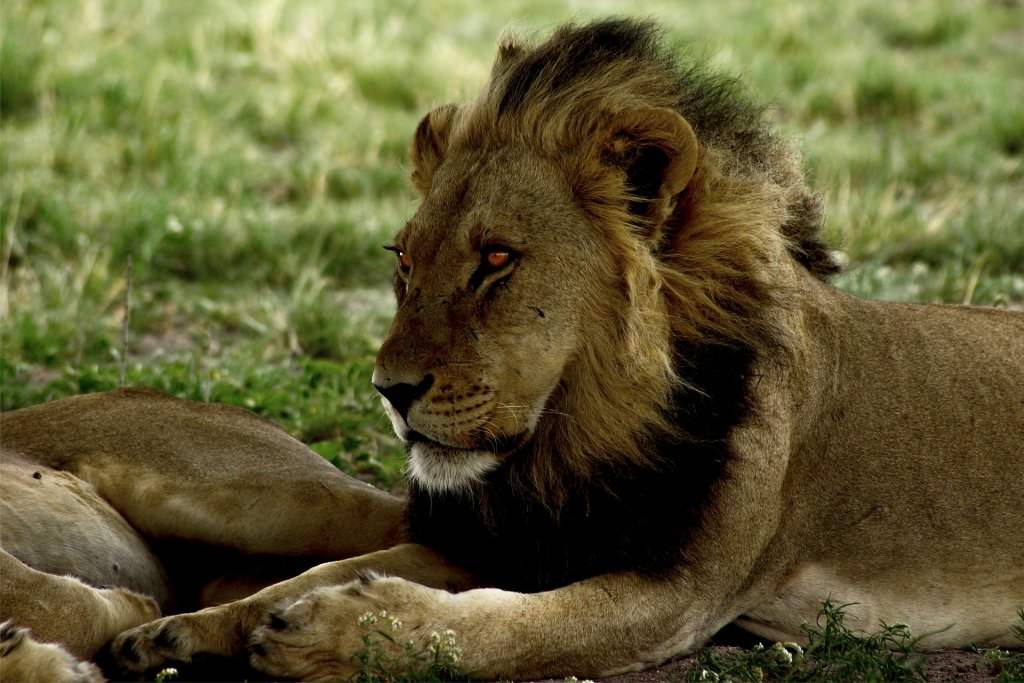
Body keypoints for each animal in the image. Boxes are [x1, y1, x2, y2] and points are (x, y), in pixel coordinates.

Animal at [2, 17, 1022, 681]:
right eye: (404, 260)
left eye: (496, 259)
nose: (389, 389)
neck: (577, 442)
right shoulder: (501, 542)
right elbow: (314, 574)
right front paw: (191, 629)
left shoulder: (679, 591)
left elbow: (501, 632)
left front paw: (332, 637)